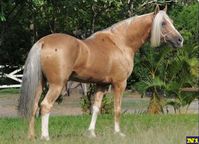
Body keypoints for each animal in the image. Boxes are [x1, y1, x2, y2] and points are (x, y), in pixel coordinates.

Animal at [18, 5, 183, 140]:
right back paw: (45, 136)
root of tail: (43, 42)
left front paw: (91, 133)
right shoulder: (120, 83)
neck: (121, 42)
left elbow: (96, 108)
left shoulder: (101, 85)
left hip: (40, 84)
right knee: (45, 105)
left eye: (171, 21)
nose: (180, 40)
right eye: (163, 23)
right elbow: (117, 109)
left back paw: (31, 136)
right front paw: (118, 133)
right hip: (57, 85)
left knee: (33, 106)